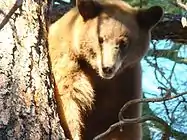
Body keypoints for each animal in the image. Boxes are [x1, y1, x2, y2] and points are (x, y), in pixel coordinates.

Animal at [48, 0, 164, 139]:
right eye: (100, 39)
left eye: (124, 43)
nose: (108, 68)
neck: (97, 74)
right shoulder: (66, 60)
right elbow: (68, 98)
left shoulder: (127, 81)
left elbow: (124, 125)